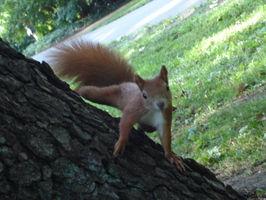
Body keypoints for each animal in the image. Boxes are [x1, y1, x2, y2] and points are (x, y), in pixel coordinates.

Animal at [48, 40, 184, 170]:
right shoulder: (133, 109)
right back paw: (76, 90)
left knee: (146, 128)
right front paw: (122, 141)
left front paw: (171, 156)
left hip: (147, 125)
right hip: (108, 93)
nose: (160, 104)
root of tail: (125, 83)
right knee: (87, 91)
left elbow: (166, 137)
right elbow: (125, 123)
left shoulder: (164, 116)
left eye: (167, 87)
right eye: (144, 95)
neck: (151, 110)